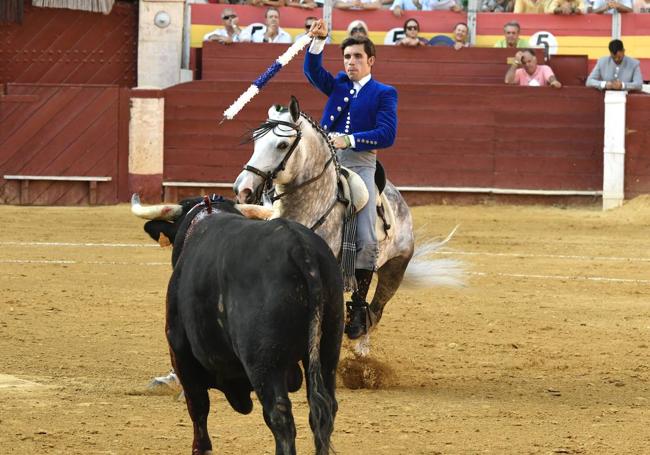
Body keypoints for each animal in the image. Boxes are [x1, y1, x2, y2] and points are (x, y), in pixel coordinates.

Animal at [165, 200, 342, 455]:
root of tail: (300, 248)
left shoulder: (180, 353)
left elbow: (198, 410)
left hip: (264, 364)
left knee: (280, 417)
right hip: (328, 349)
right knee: (324, 411)